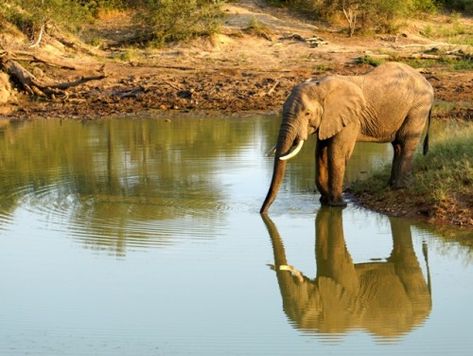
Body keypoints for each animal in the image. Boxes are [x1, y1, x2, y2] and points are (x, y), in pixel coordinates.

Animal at [260, 61, 434, 213]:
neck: (323, 87)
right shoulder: (328, 121)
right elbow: (321, 154)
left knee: (406, 142)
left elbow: (337, 154)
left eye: (307, 113)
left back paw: (400, 187)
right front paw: (325, 201)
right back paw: (391, 185)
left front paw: (337, 205)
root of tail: (427, 82)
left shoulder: (350, 119)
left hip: (418, 106)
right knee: (397, 145)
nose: (262, 212)